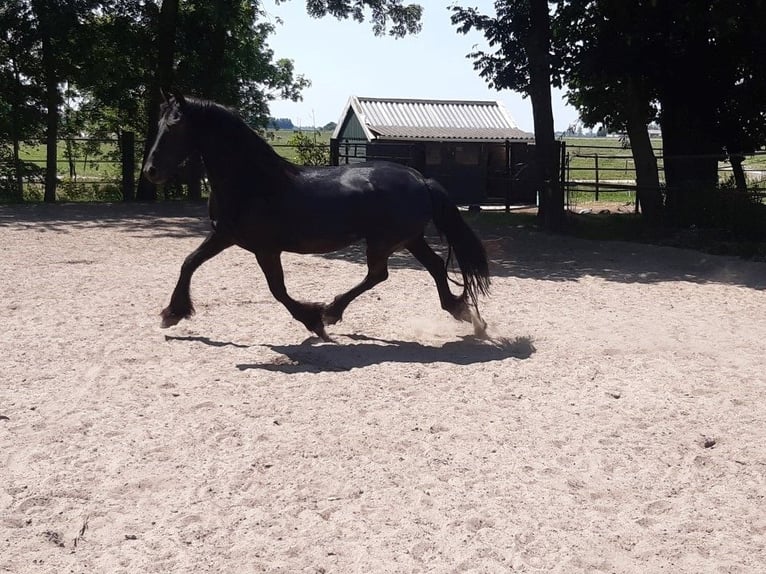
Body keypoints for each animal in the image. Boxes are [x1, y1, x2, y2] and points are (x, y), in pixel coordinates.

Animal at [144, 91, 492, 342]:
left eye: (174, 125)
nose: (150, 171)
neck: (254, 182)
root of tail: (421, 179)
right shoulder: (225, 235)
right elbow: (189, 262)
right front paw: (172, 313)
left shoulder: (265, 249)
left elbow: (278, 290)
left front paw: (313, 322)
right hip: (409, 239)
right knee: (432, 268)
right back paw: (466, 314)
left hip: (385, 241)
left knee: (379, 274)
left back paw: (331, 312)